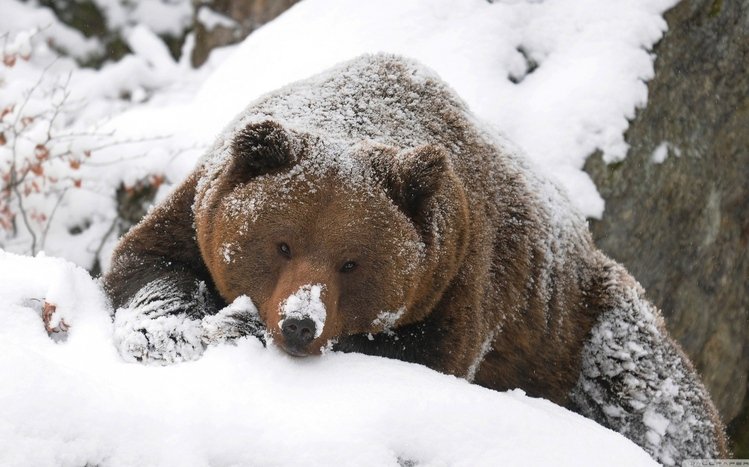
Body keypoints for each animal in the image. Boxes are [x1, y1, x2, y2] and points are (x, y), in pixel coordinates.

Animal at [104, 54, 728, 465]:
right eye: (281, 244)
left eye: (351, 262)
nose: (301, 323)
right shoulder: (196, 210)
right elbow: (149, 264)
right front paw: (168, 330)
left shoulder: (460, 276)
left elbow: (420, 354)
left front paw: (237, 324)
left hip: (581, 324)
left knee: (653, 394)